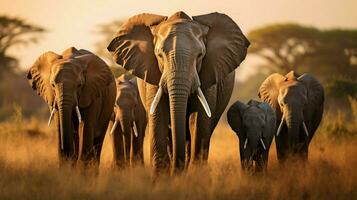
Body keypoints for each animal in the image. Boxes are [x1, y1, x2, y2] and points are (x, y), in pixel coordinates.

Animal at [107, 11, 249, 173]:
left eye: (200, 55)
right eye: (159, 55)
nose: (177, 169)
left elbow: (199, 119)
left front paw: (193, 175)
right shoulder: (153, 75)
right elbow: (159, 115)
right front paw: (163, 176)